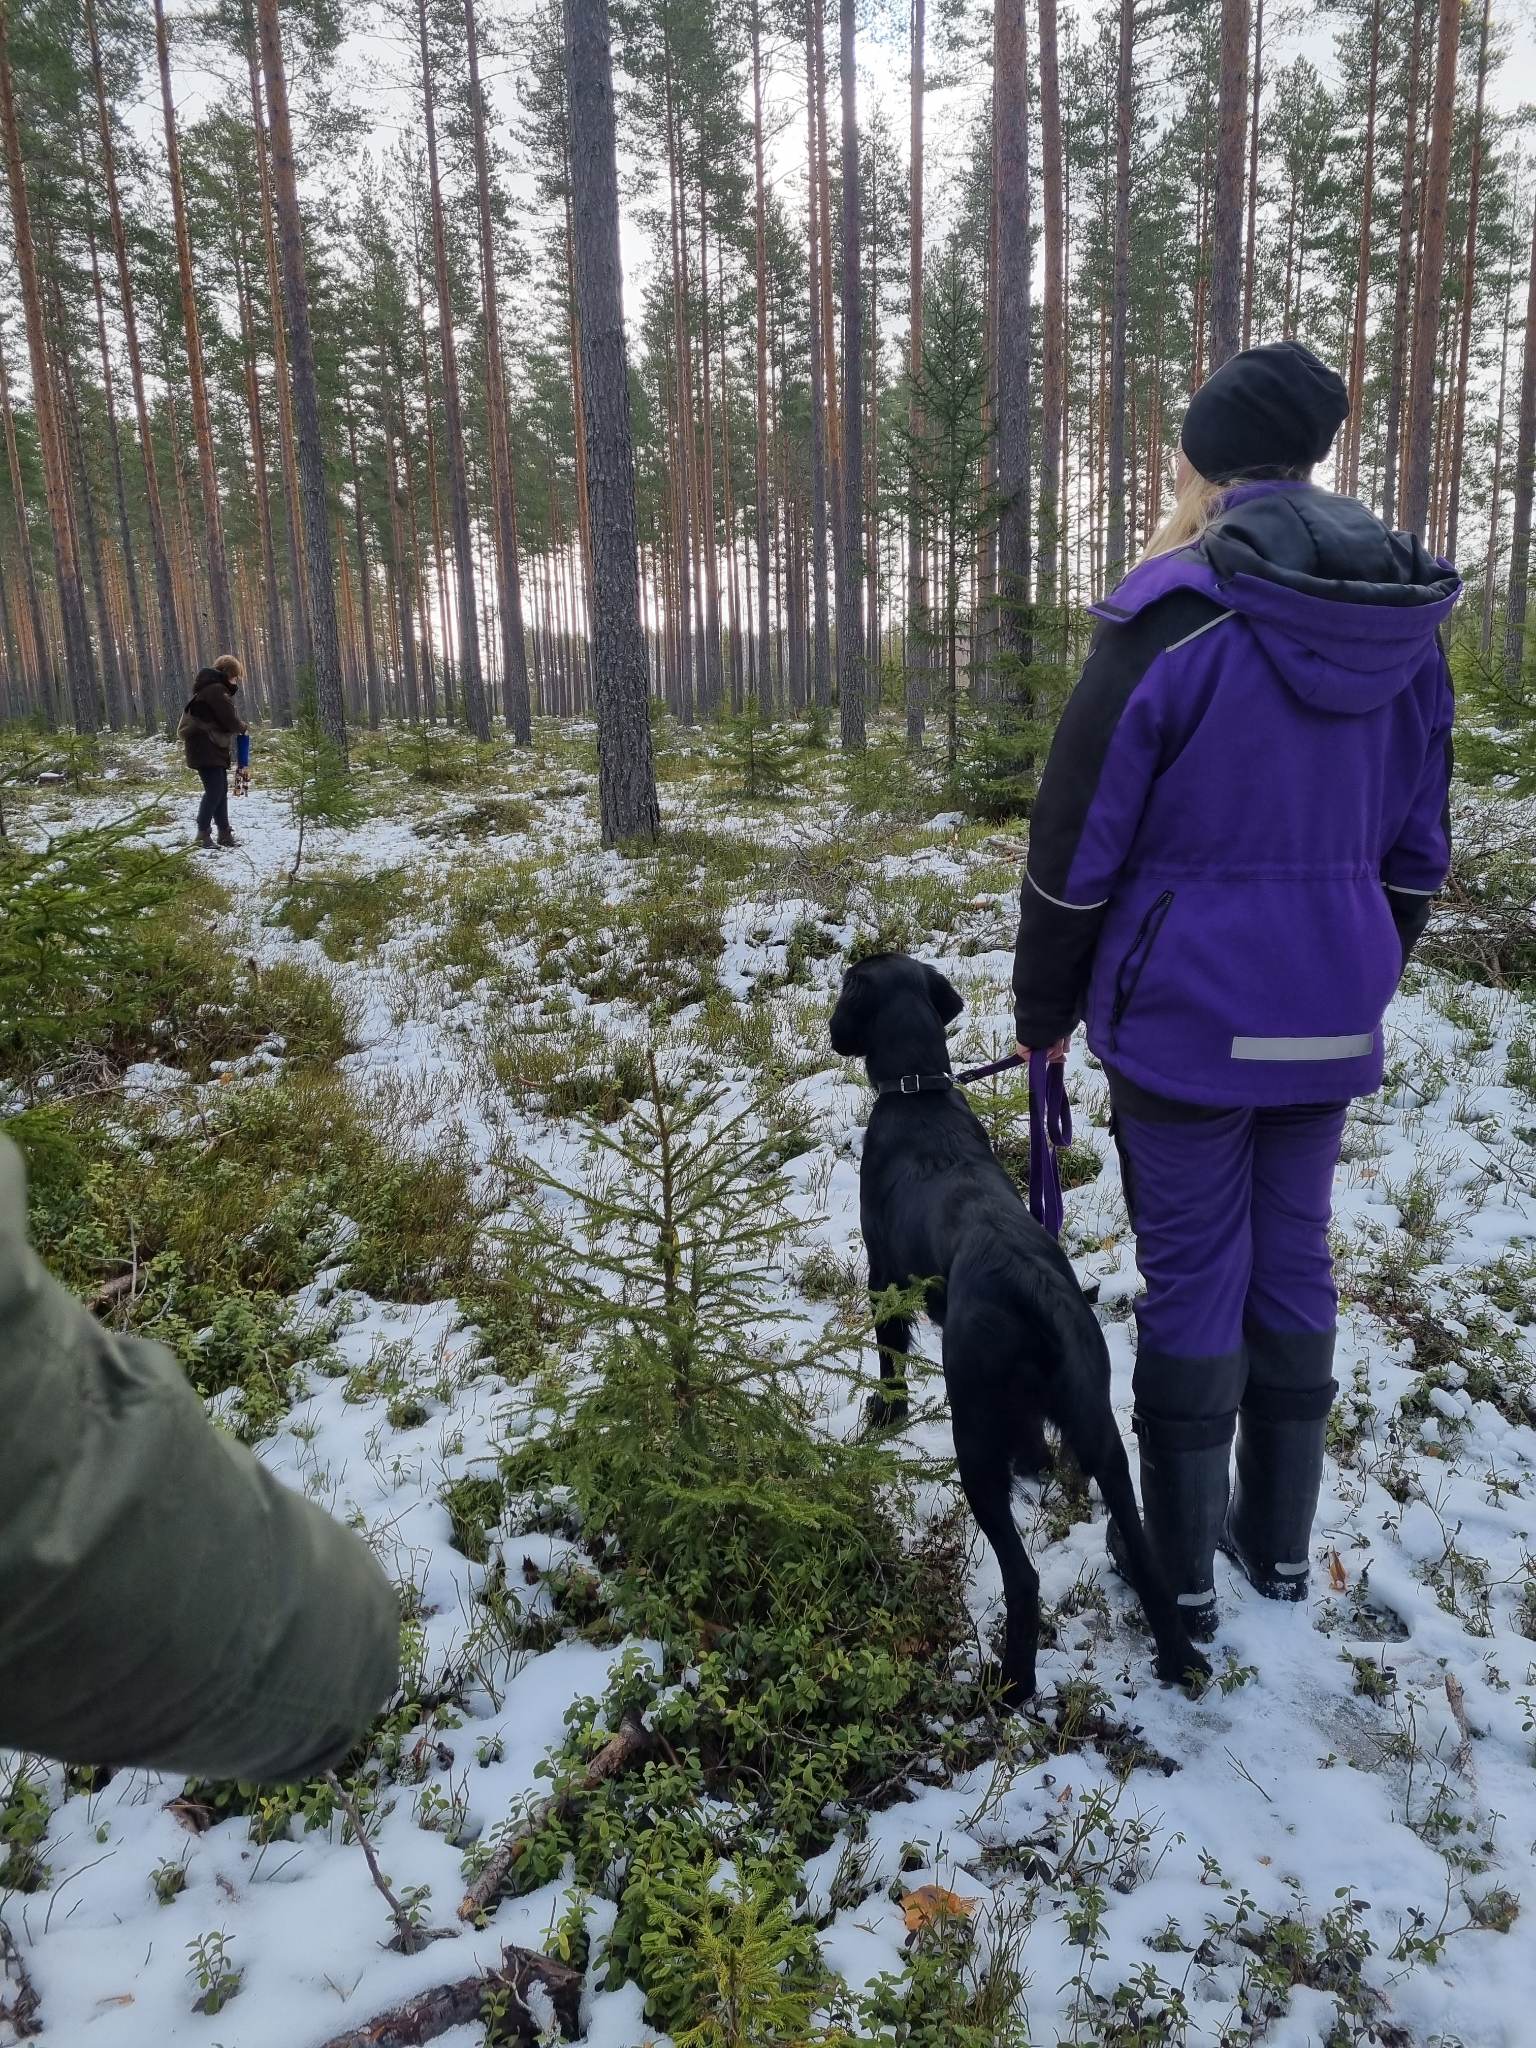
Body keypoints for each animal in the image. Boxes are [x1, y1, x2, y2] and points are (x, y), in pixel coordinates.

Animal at [830, 951, 1211, 1704]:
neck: (918, 1095)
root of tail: (1030, 1289)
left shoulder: (884, 1278)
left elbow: (889, 1356)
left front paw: (885, 1415)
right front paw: (1033, 1461)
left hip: (973, 1434)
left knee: (1023, 1575)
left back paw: (1012, 1682)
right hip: (1100, 1430)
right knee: (1145, 1555)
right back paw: (1179, 1658)